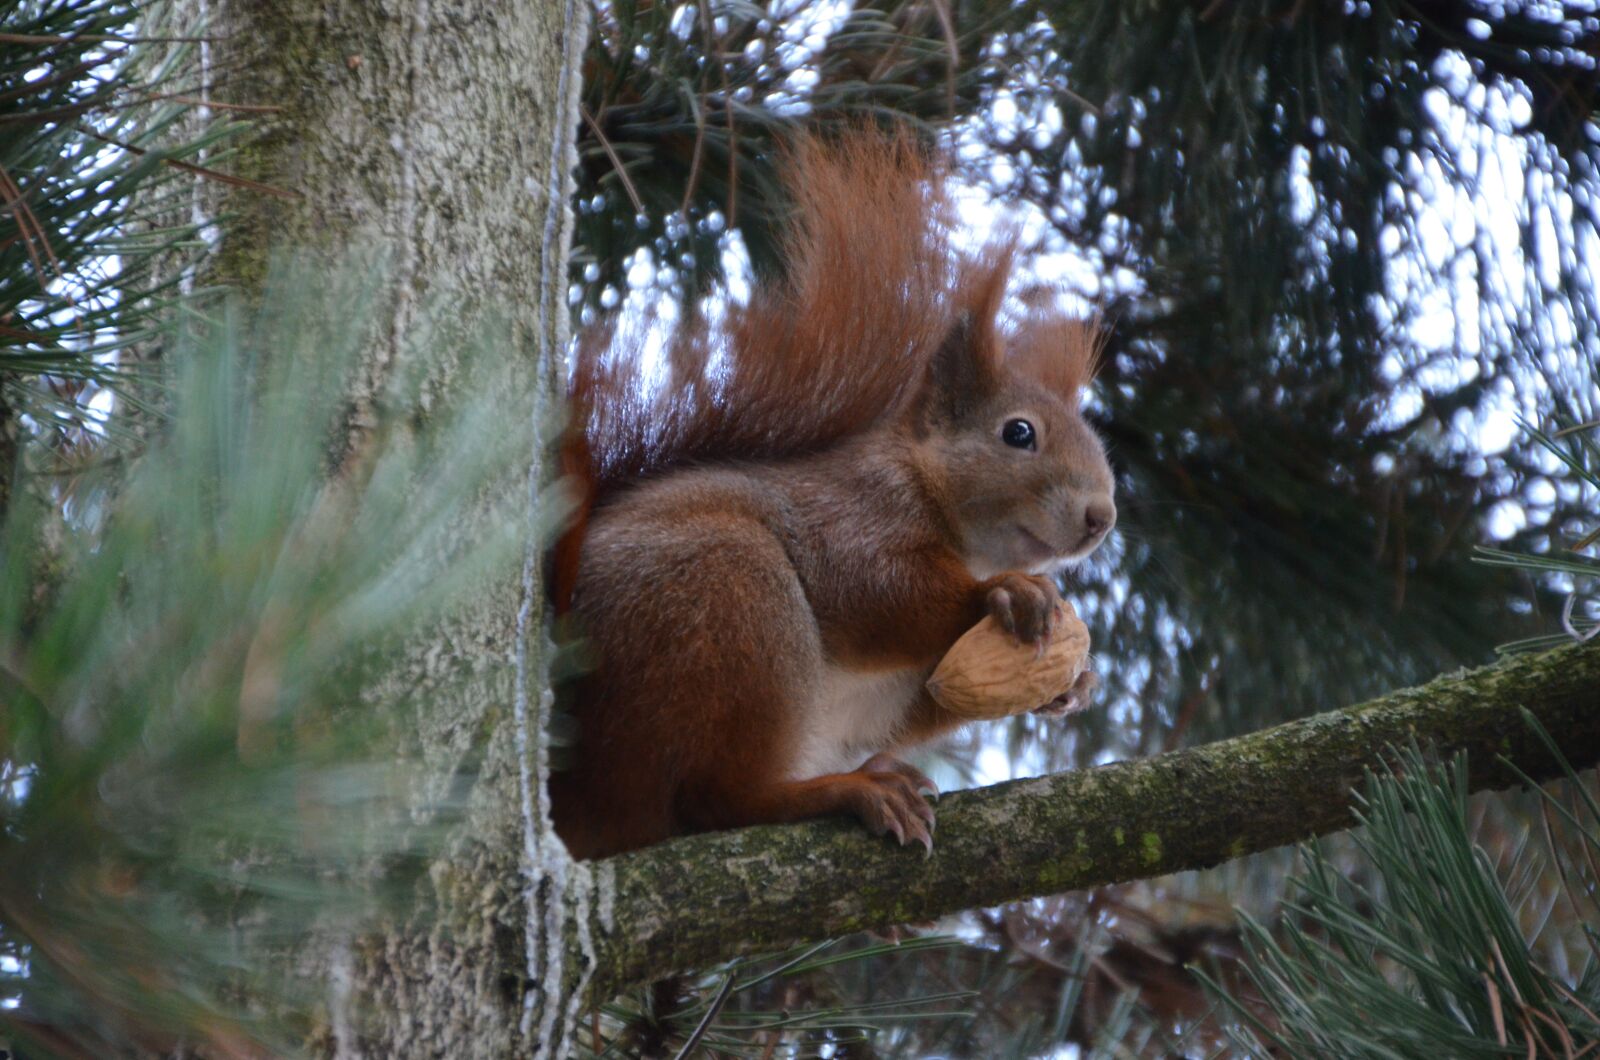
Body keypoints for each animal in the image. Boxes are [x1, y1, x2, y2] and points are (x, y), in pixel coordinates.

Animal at [548, 132, 1116, 860]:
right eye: (1019, 433)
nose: (1101, 517)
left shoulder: (904, 684)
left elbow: (929, 695)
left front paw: (1074, 683)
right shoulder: (849, 516)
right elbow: (875, 590)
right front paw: (1005, 593)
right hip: (726, 598)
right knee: (718, 800)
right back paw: (847, 791)